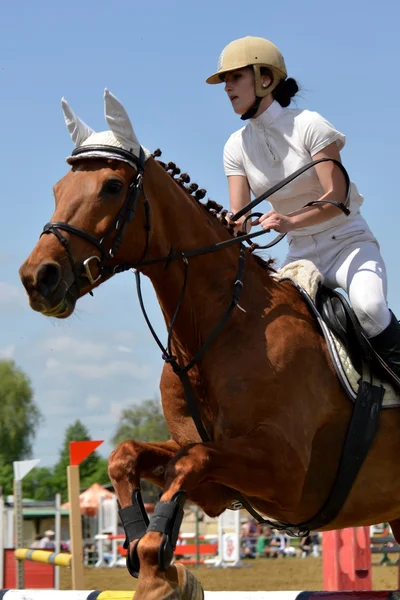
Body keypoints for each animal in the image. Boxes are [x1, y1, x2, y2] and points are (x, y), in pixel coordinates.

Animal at [18, 90, 400, 600]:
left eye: (112, 187)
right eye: (59, 188)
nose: (37, 278)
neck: (218, 331)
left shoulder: (287, 474)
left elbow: (190, 463)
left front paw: (159, 574)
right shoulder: (210, 469)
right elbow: (131, 457)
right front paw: (148, 555)